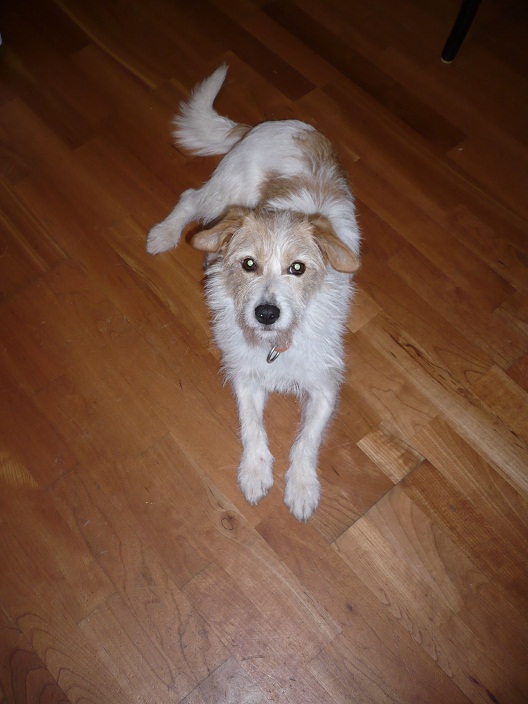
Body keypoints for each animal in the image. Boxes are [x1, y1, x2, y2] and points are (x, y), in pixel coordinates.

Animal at [147, 65, 360, 520]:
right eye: (248, 264)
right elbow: (253, 427)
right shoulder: (245, 373)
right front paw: (256, 472)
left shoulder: (324, 385)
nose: (265, 314)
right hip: (224, 196)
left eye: (298, 269)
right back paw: (164, 235)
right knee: (190, 200)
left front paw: (301, 486)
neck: (273, 346)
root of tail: (274, 124)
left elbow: (307, 440)